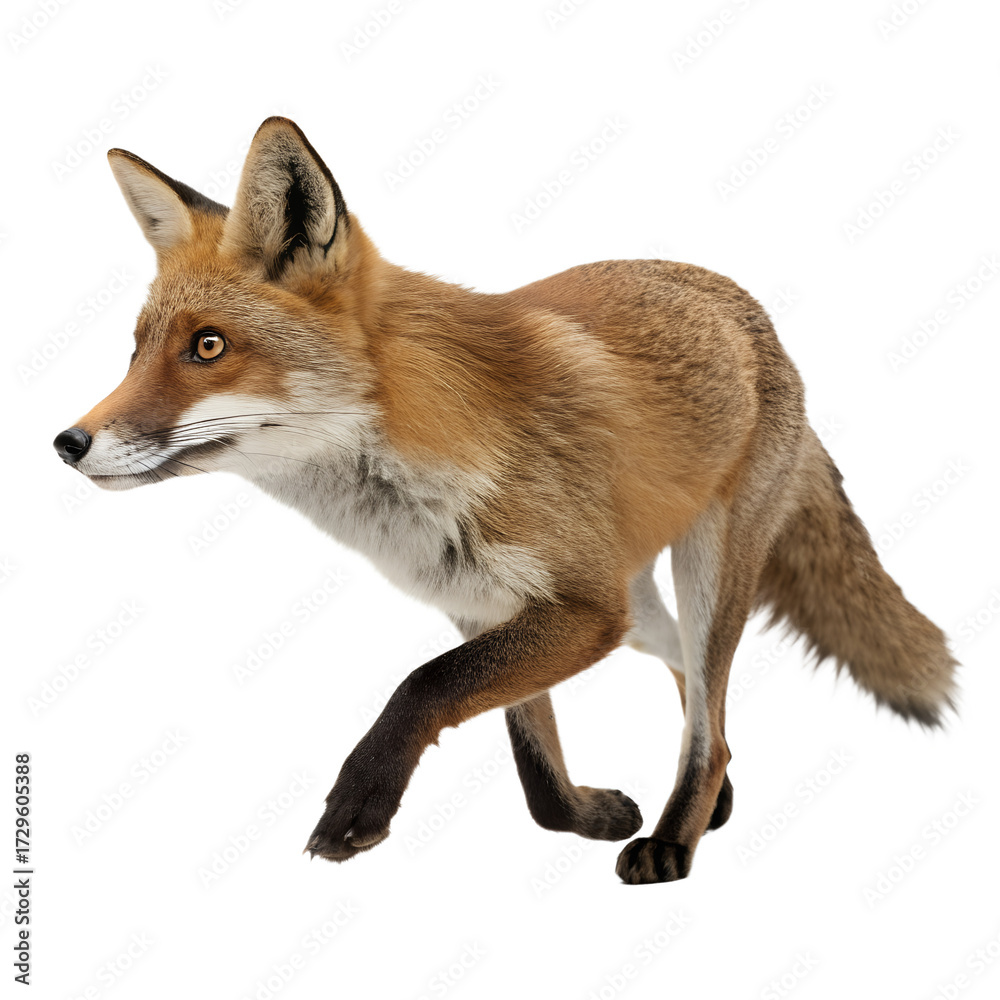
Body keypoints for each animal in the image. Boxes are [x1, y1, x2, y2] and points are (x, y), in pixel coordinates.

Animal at [53, 117, 958, 884]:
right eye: (136, 351)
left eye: (207, 347)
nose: (67, 443)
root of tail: (743, 302)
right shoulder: (493, 608)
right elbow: (537, 778)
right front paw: (594, 815)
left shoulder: (581, 611)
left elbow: (422, 687)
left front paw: (356, 807)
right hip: (641, 605)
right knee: (705, 703)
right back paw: (709, 801)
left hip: (703, 574)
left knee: (708, 713)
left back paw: (674, 838)